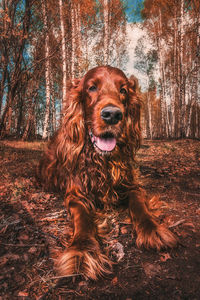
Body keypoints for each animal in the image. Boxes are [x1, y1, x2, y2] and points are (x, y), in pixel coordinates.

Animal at [38, 65, 177, 278]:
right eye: (92, 87)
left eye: (123, 90)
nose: (112, 114)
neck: (102, 160)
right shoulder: (76, 193)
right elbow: (82, 218)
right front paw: (82, 250)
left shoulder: (131, 186)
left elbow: (140, 206)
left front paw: (153, 229)